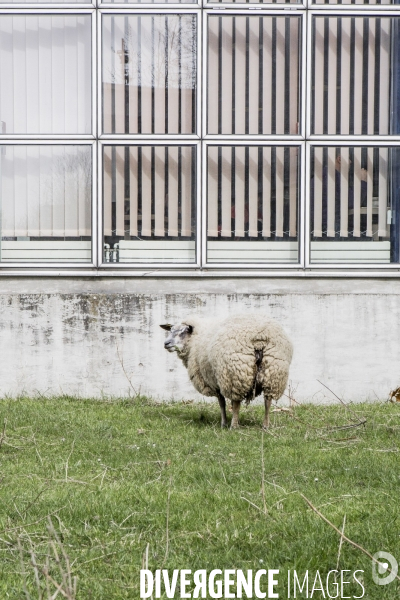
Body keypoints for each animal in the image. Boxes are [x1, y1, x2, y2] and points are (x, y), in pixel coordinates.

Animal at [160, 314, 294, 432]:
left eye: (183, 332)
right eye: (170, 330)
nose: (166, 343)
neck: (196, 339)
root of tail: (259, 337)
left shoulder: (215, 382)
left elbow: (222, 403)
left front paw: (223, 423)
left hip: (235, 373)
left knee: (236, 402)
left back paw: (233, 426)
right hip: (273, 371)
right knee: (268, 400)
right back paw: (265, 425)